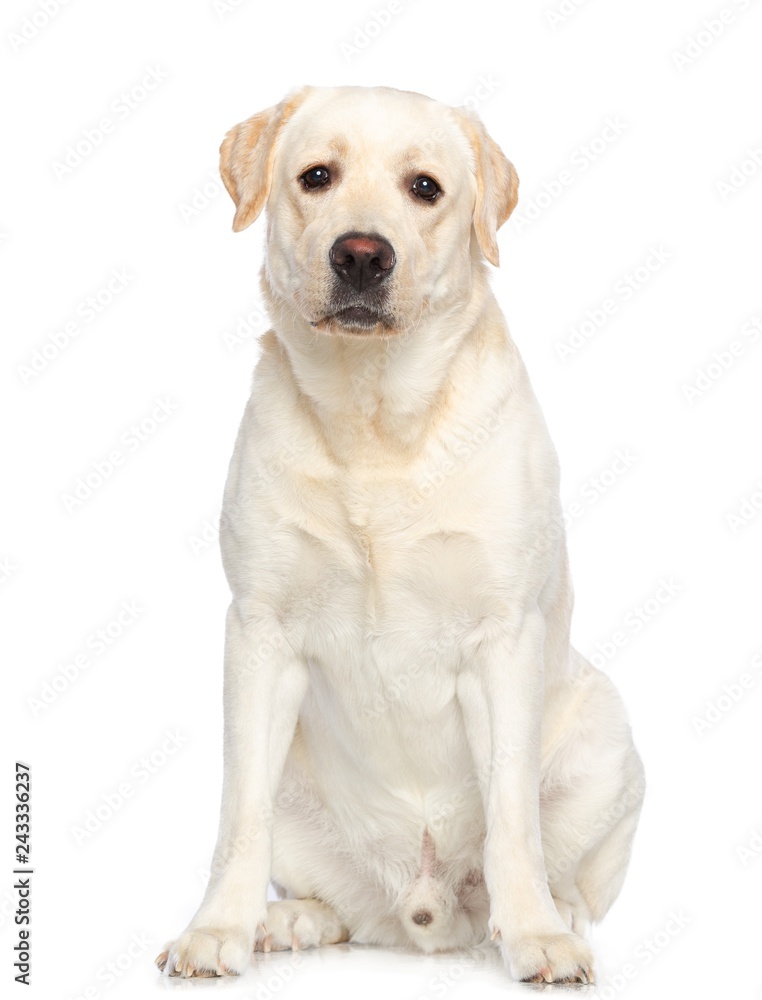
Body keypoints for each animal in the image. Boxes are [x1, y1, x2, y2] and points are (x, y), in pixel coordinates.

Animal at [157, 84, 644, 984]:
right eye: (317, 176)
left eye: (425, 188)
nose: (360, 255)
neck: (373, 423)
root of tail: (424, 916)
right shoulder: (260, 634)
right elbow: (237, 816)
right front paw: (219, 928)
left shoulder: (503, 639)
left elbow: (512, 818)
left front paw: (537, 936)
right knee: (338, 902)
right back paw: (288, 921)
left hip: (608, 739)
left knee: (567, 878)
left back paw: (550, 919)